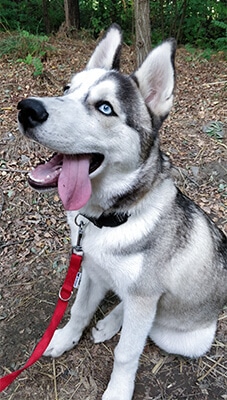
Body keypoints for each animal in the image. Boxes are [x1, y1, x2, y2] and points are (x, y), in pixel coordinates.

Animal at [18, 23, 227, 398]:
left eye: (105, 108)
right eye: (66, 89)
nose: (27, 109)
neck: (108, 220)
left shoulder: (143, 298)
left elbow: (127, 352)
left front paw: (117, 390)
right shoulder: (89, 268)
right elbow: (78, 310)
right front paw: (64, 338)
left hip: (180, 336)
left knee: (147, 321)